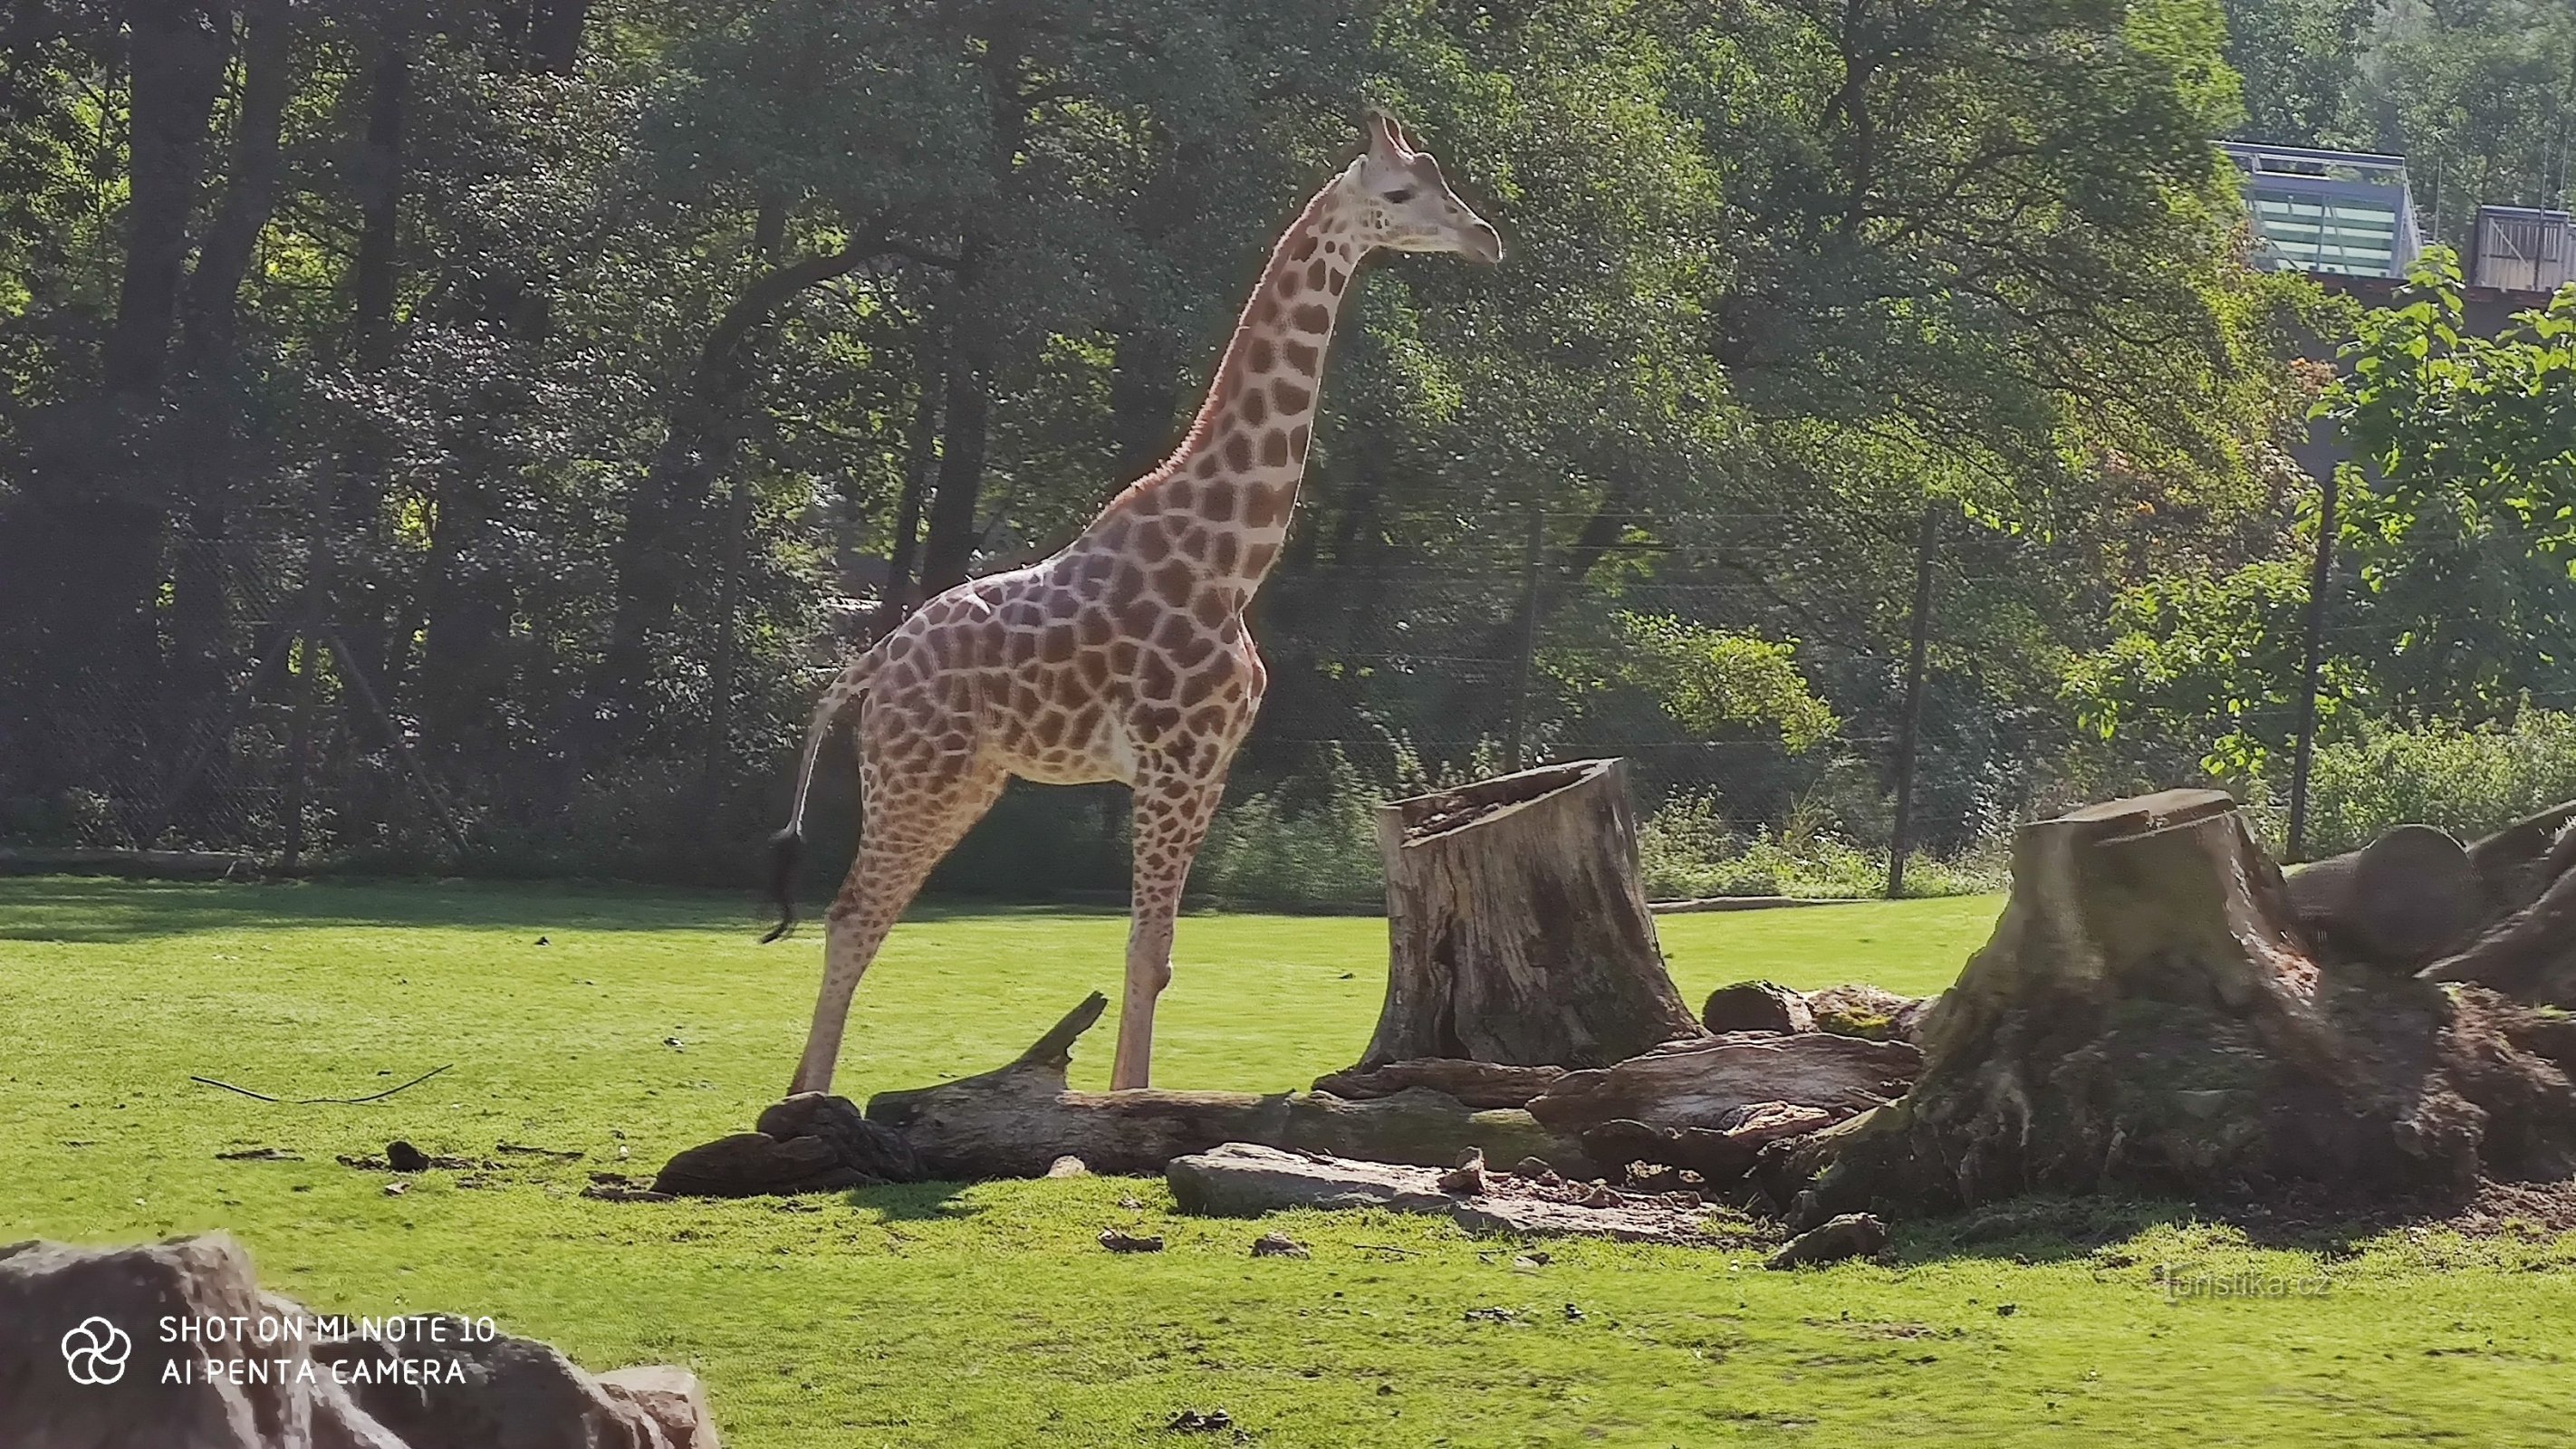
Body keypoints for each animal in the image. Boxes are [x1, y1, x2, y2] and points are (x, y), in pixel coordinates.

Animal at [752, 110, 1504, 1090]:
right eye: (1402, 192)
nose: (1485, 238)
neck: (1232, 558)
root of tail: (873, 661)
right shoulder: (1173, 760)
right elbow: (1146, 953)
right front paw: (1129, 1102)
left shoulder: (1208, 769)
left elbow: (1160, 953)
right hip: (918, 773)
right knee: (854, 917)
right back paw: (807, 1101)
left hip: (968, 778)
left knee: (866, 916)